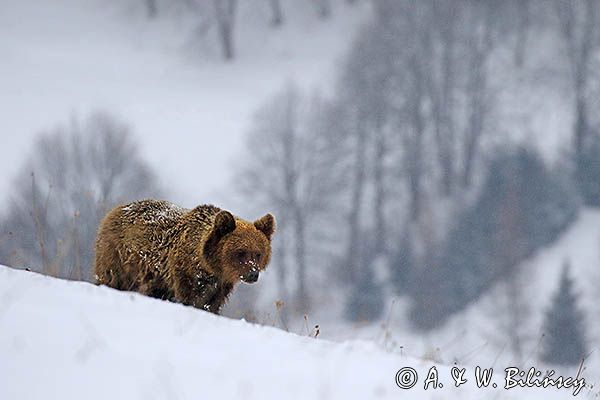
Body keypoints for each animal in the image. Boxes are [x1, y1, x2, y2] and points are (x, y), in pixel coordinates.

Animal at [93, 199, 274, 312]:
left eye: (258, 253)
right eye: (240, 252)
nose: (253, 274)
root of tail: (115, 210)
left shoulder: (221, 286)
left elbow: (212, 305)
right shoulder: (183, 274)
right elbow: (189, 298)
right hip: (118, 255)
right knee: (112, 278)